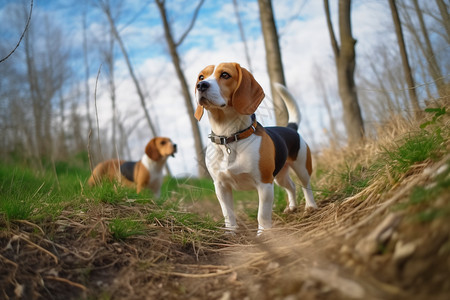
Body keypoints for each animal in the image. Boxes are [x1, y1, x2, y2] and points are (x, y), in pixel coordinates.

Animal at [195, 61, 318, 234]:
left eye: (225, 75)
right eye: (201, 77)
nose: (201, 85)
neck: (230, 137)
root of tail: (290, 128)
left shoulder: (264, 183)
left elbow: (262, 214)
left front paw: (264, 233)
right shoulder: (221, 186)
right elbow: (228, 213)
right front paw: (231, 231)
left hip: (302, 167)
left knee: (306, 186)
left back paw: (311, 206)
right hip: (280, 177)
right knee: (292, 187)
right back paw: (292, 207)